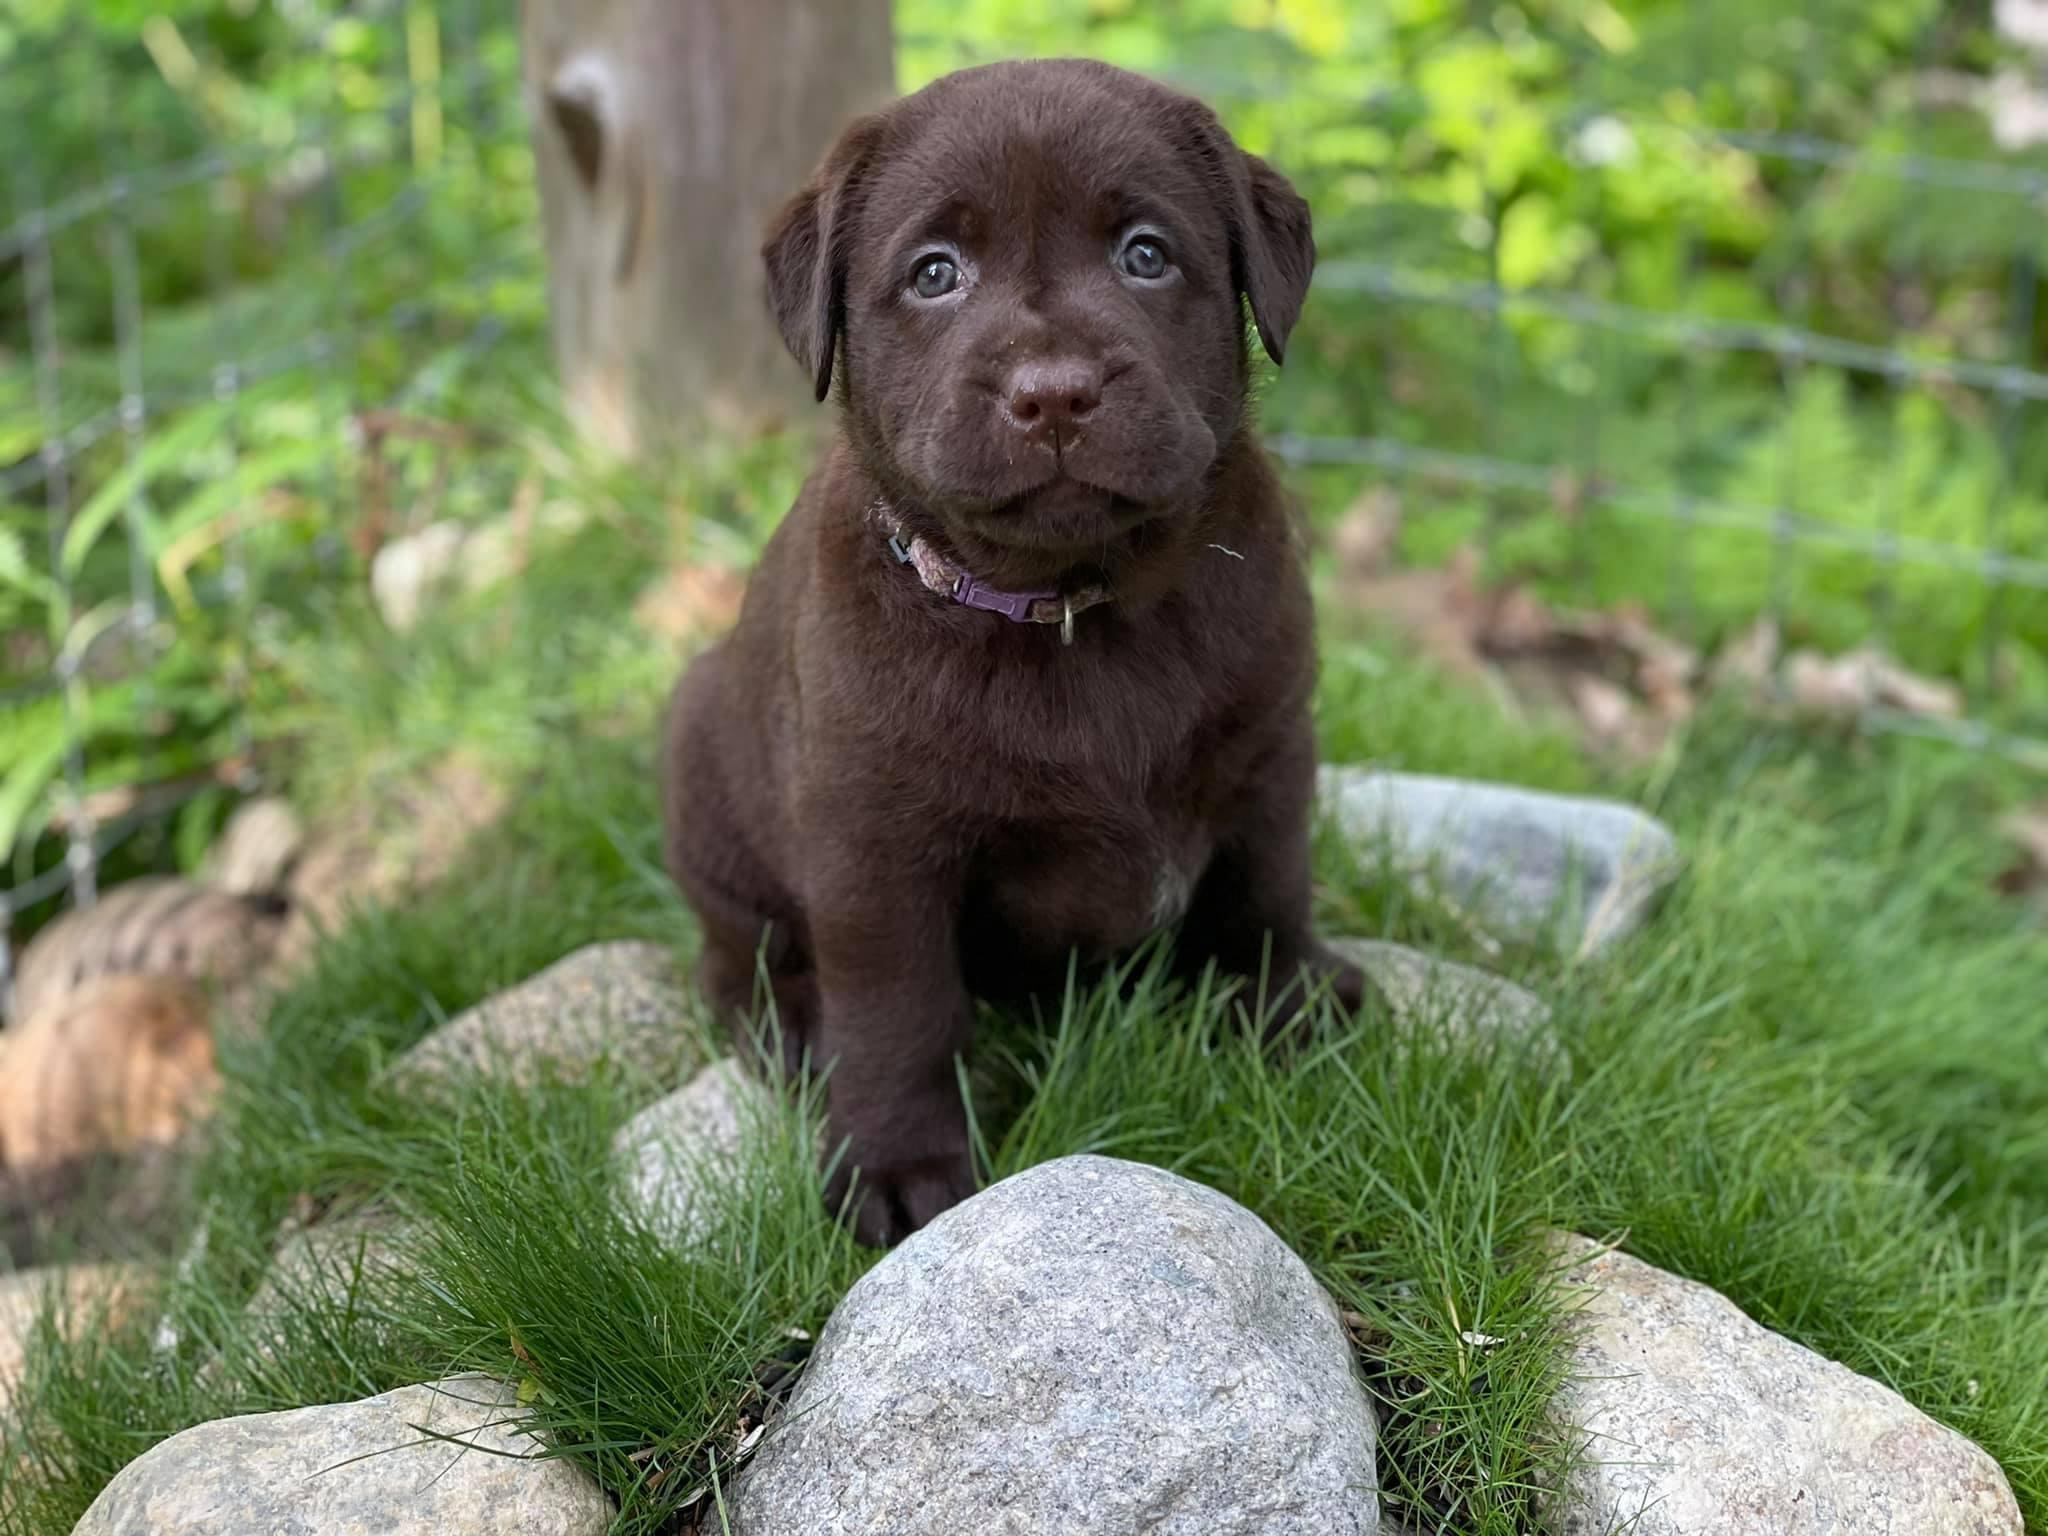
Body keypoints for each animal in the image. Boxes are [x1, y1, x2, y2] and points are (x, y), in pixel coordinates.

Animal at [660, 57, 1369, 1245]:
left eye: (1145, 254)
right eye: (934, 275)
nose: (1055, 393)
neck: (1076, 607)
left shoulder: (1271, 744)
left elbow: (1266, 889)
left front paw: (1286, 1007)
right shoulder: (875, 848)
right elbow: (899, 1009)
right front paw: (898, 1165)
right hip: (703, 771)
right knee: (737, 959)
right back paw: (795, 1029)